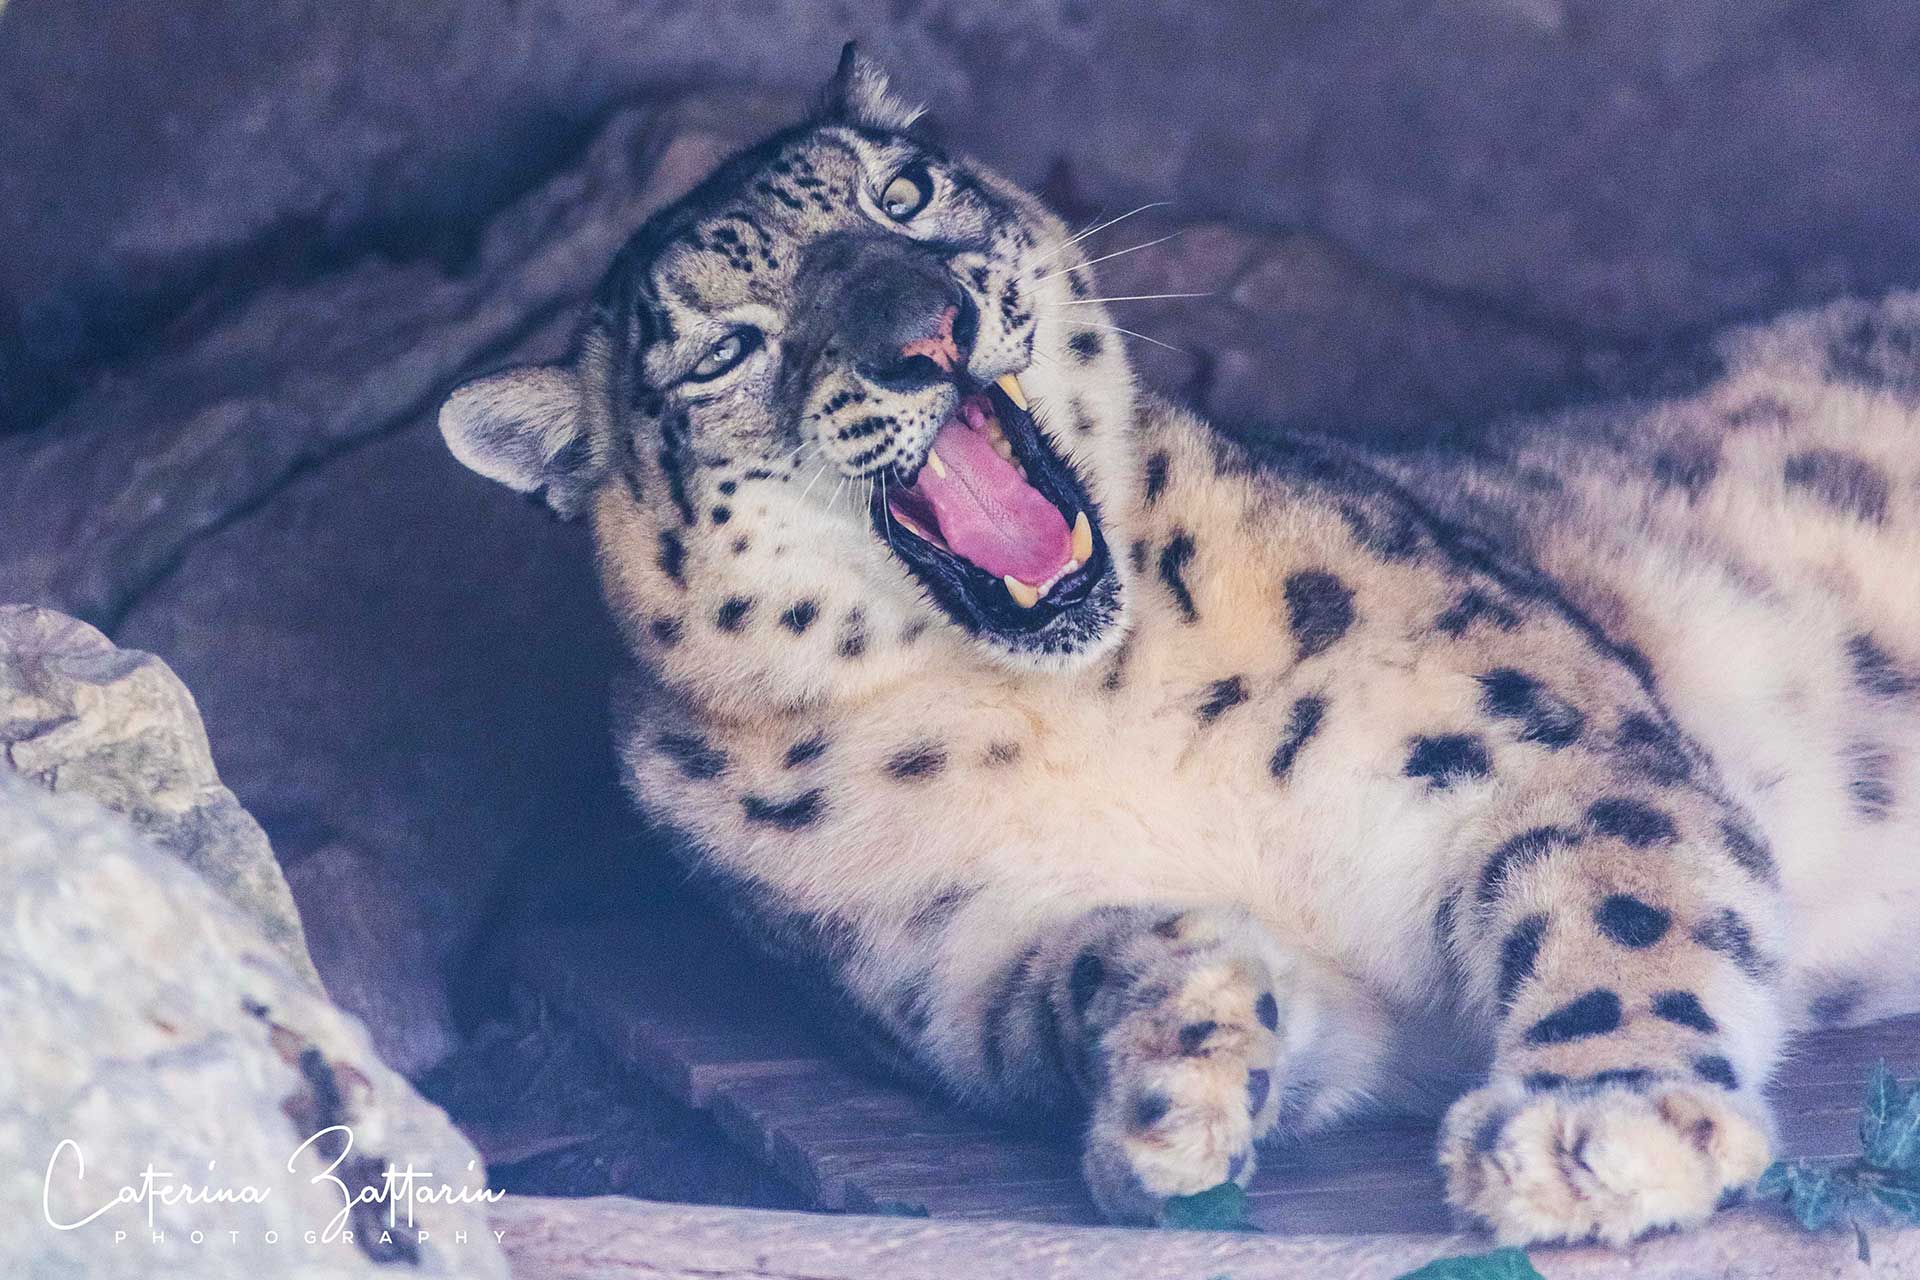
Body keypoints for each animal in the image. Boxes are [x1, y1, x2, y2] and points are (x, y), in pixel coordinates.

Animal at [440, 45, 1920, 1245]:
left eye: (901, 196)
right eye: (722, 352)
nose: (926, 329)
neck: (1078, 706)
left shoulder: (1533, 730)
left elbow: (1623, 903)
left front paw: (1597, 1128)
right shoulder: (958, 974)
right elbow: (1092, 973)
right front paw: (1171, 1082)